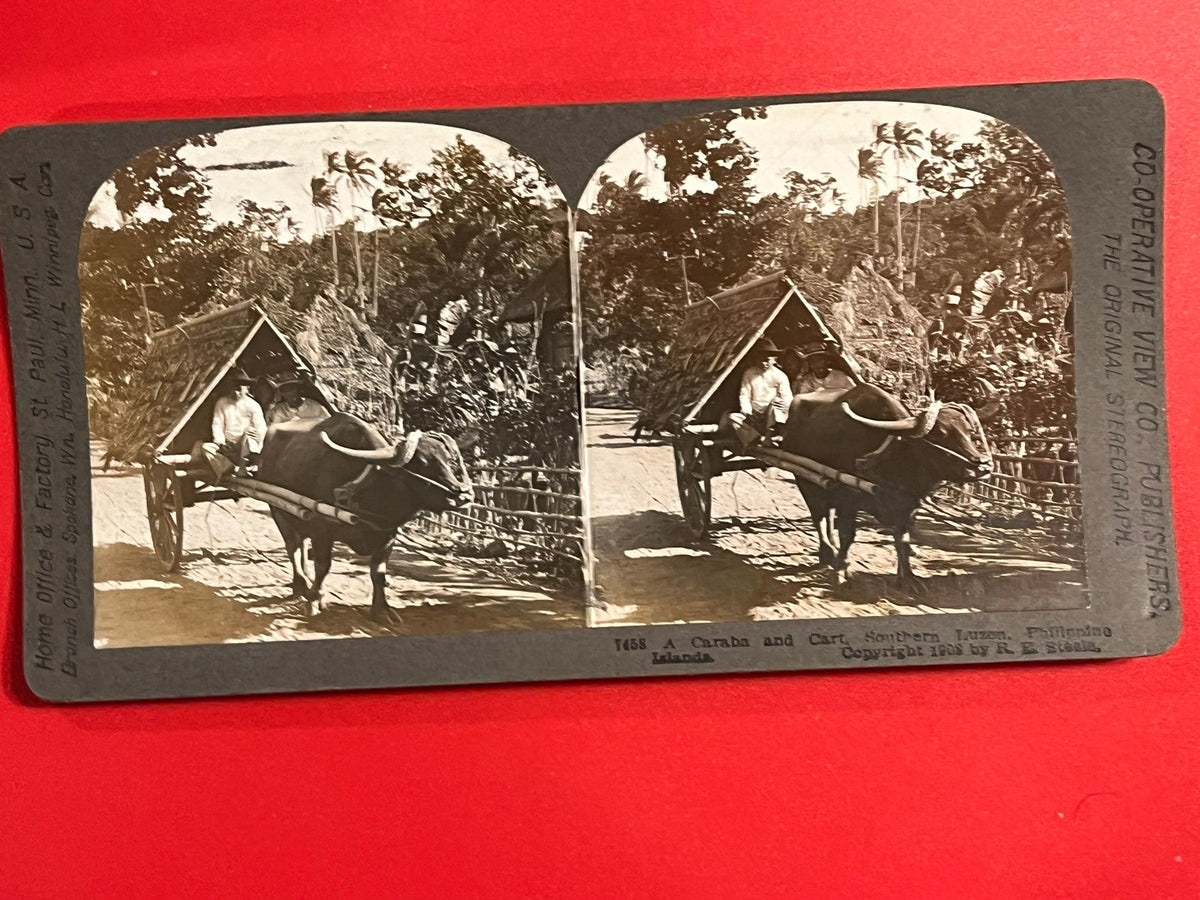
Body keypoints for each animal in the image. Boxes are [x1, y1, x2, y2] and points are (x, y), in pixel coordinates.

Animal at [258, 415, 472, 619]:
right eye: (423, 464)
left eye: (449, 460)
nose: (463, 494)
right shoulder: (321, 529)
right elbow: (323, 566)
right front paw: (314, 600)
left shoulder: (387, 535)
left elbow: (378, 573)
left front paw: (382, 610)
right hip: (277, 509)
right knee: (292, 547)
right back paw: (300, 584)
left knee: (300, 545)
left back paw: (304, 580)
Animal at [777, 381, 993, 588]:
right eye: (940, 434)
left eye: (969, 431)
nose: (983, 464)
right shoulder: (847, 498)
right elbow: (848, 534)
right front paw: (841, 572)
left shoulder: (907, 505)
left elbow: (902, 539)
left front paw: (908, 578)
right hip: (805, 480)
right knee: (819, 516)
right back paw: (827, 553)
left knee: (827, 515)